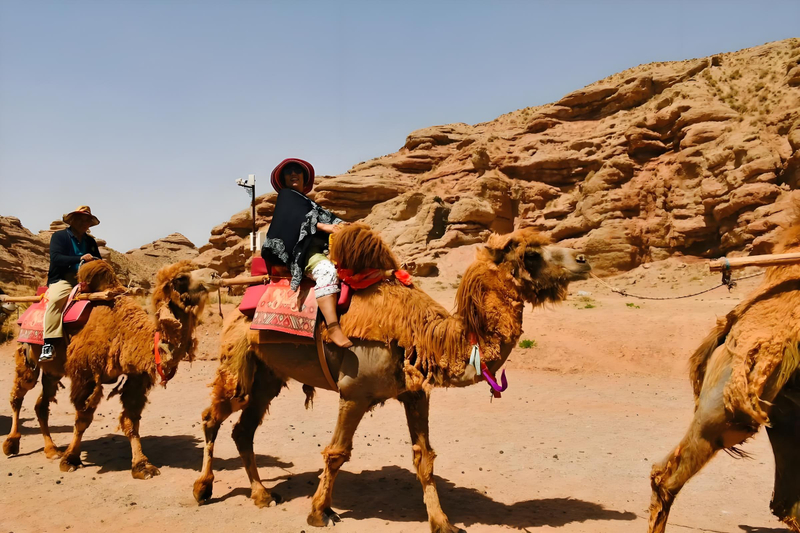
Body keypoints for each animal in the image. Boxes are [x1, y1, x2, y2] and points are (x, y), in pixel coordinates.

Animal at [3, 260, 218, 479]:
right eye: (181, 278)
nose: (215, 274)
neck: (125, 332)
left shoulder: (136, 376)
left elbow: (131, 420)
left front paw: (142, 465)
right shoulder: (86, 375)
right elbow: (82, 419)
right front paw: (70, 459)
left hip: (53, 372)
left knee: (41, 405)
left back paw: (52, 450)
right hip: (27, 355)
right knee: (18, 396)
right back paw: (12, 444)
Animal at [192, 223, 590, 532]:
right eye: (531, 254)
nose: (584, 260)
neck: (424, 335)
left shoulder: (415, 393)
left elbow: (424, 458)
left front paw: (442, 522)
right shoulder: (354, 392)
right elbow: (336, 453)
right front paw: (320, 512)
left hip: (269, 375)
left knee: (243, 429)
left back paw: (262, 495)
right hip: (238, 362)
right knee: (212, 417)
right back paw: (203, 489)